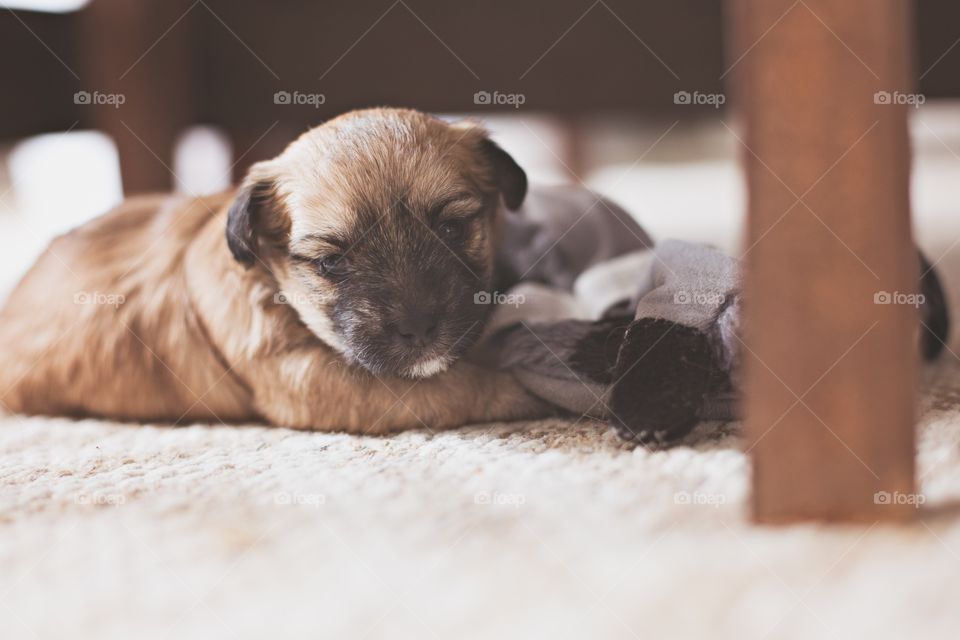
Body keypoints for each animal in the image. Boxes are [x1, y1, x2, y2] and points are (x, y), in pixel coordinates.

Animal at [0, 107, 548, 432]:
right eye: (331, 262)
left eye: (453, 230)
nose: (419, 329)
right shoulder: (315, 381)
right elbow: (458, 386)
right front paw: (527, 388)